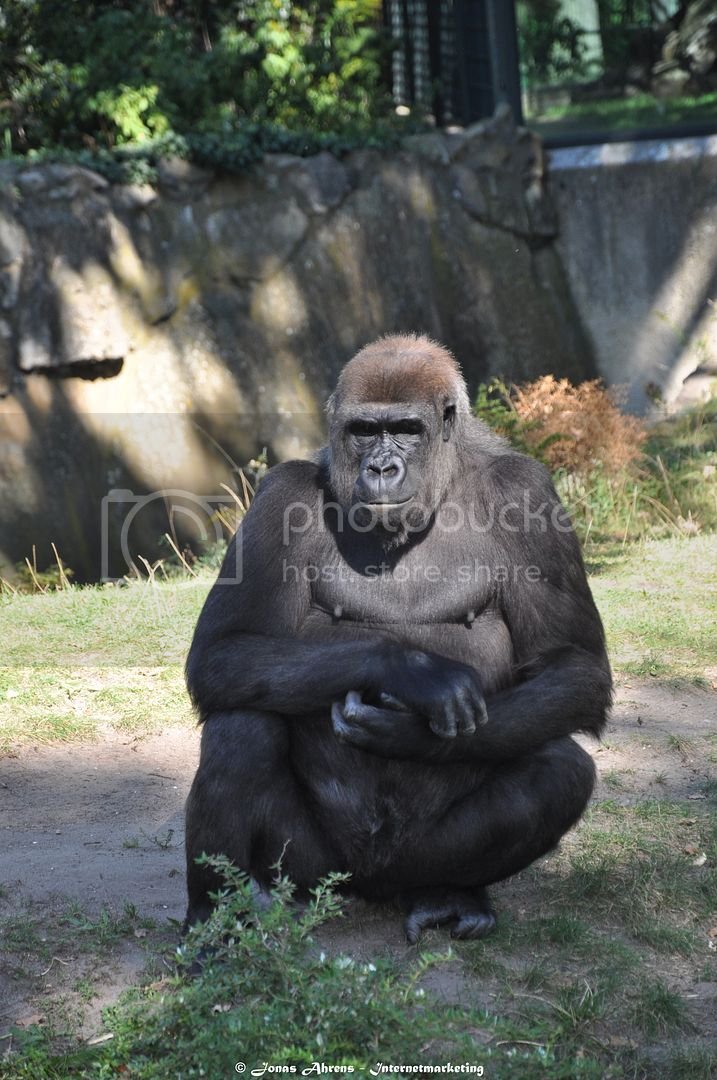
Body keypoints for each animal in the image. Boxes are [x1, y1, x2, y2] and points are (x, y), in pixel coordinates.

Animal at [184, 332, 609, 941]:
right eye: (364, 430)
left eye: (407, 429)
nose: (382, 467)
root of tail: (374, 884)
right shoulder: (281, 495)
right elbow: (223, 651)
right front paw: (412, 671)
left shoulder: (529, 495)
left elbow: (574, 664)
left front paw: (407, 735)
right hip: (316, 870)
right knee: (240, 724)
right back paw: (215, 921)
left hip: (414, 861)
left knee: (561, 772)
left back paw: (448, 893)